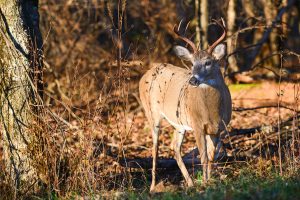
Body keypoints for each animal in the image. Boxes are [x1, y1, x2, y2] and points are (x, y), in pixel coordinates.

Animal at [139, 20, 233, 192]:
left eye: (208, 62)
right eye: (192, 63)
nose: (193, 80)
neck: (211, 111)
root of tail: (145, 75)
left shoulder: (218, 128)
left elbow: (211, 156)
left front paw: (209, 181)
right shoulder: (197, 124)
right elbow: (203, 157)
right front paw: (205, 183)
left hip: (179, 123)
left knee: (175, 146)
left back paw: (189, 183)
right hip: (151, 112)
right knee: (155, 148)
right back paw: (153, 187)